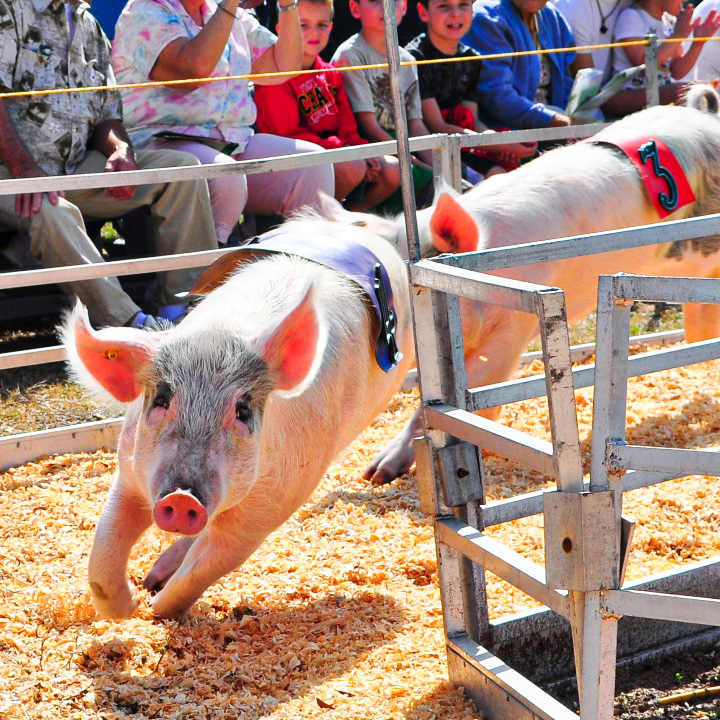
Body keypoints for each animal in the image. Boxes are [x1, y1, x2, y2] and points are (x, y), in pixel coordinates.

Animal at [62, 215, 415, 619]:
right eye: (162, 399)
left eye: (243, 411)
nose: (182, 498)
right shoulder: (132, 469)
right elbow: (103, 553)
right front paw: (131, 604)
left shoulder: (271, 506)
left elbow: (204, 569)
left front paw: (154, 609)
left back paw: (377, 473)